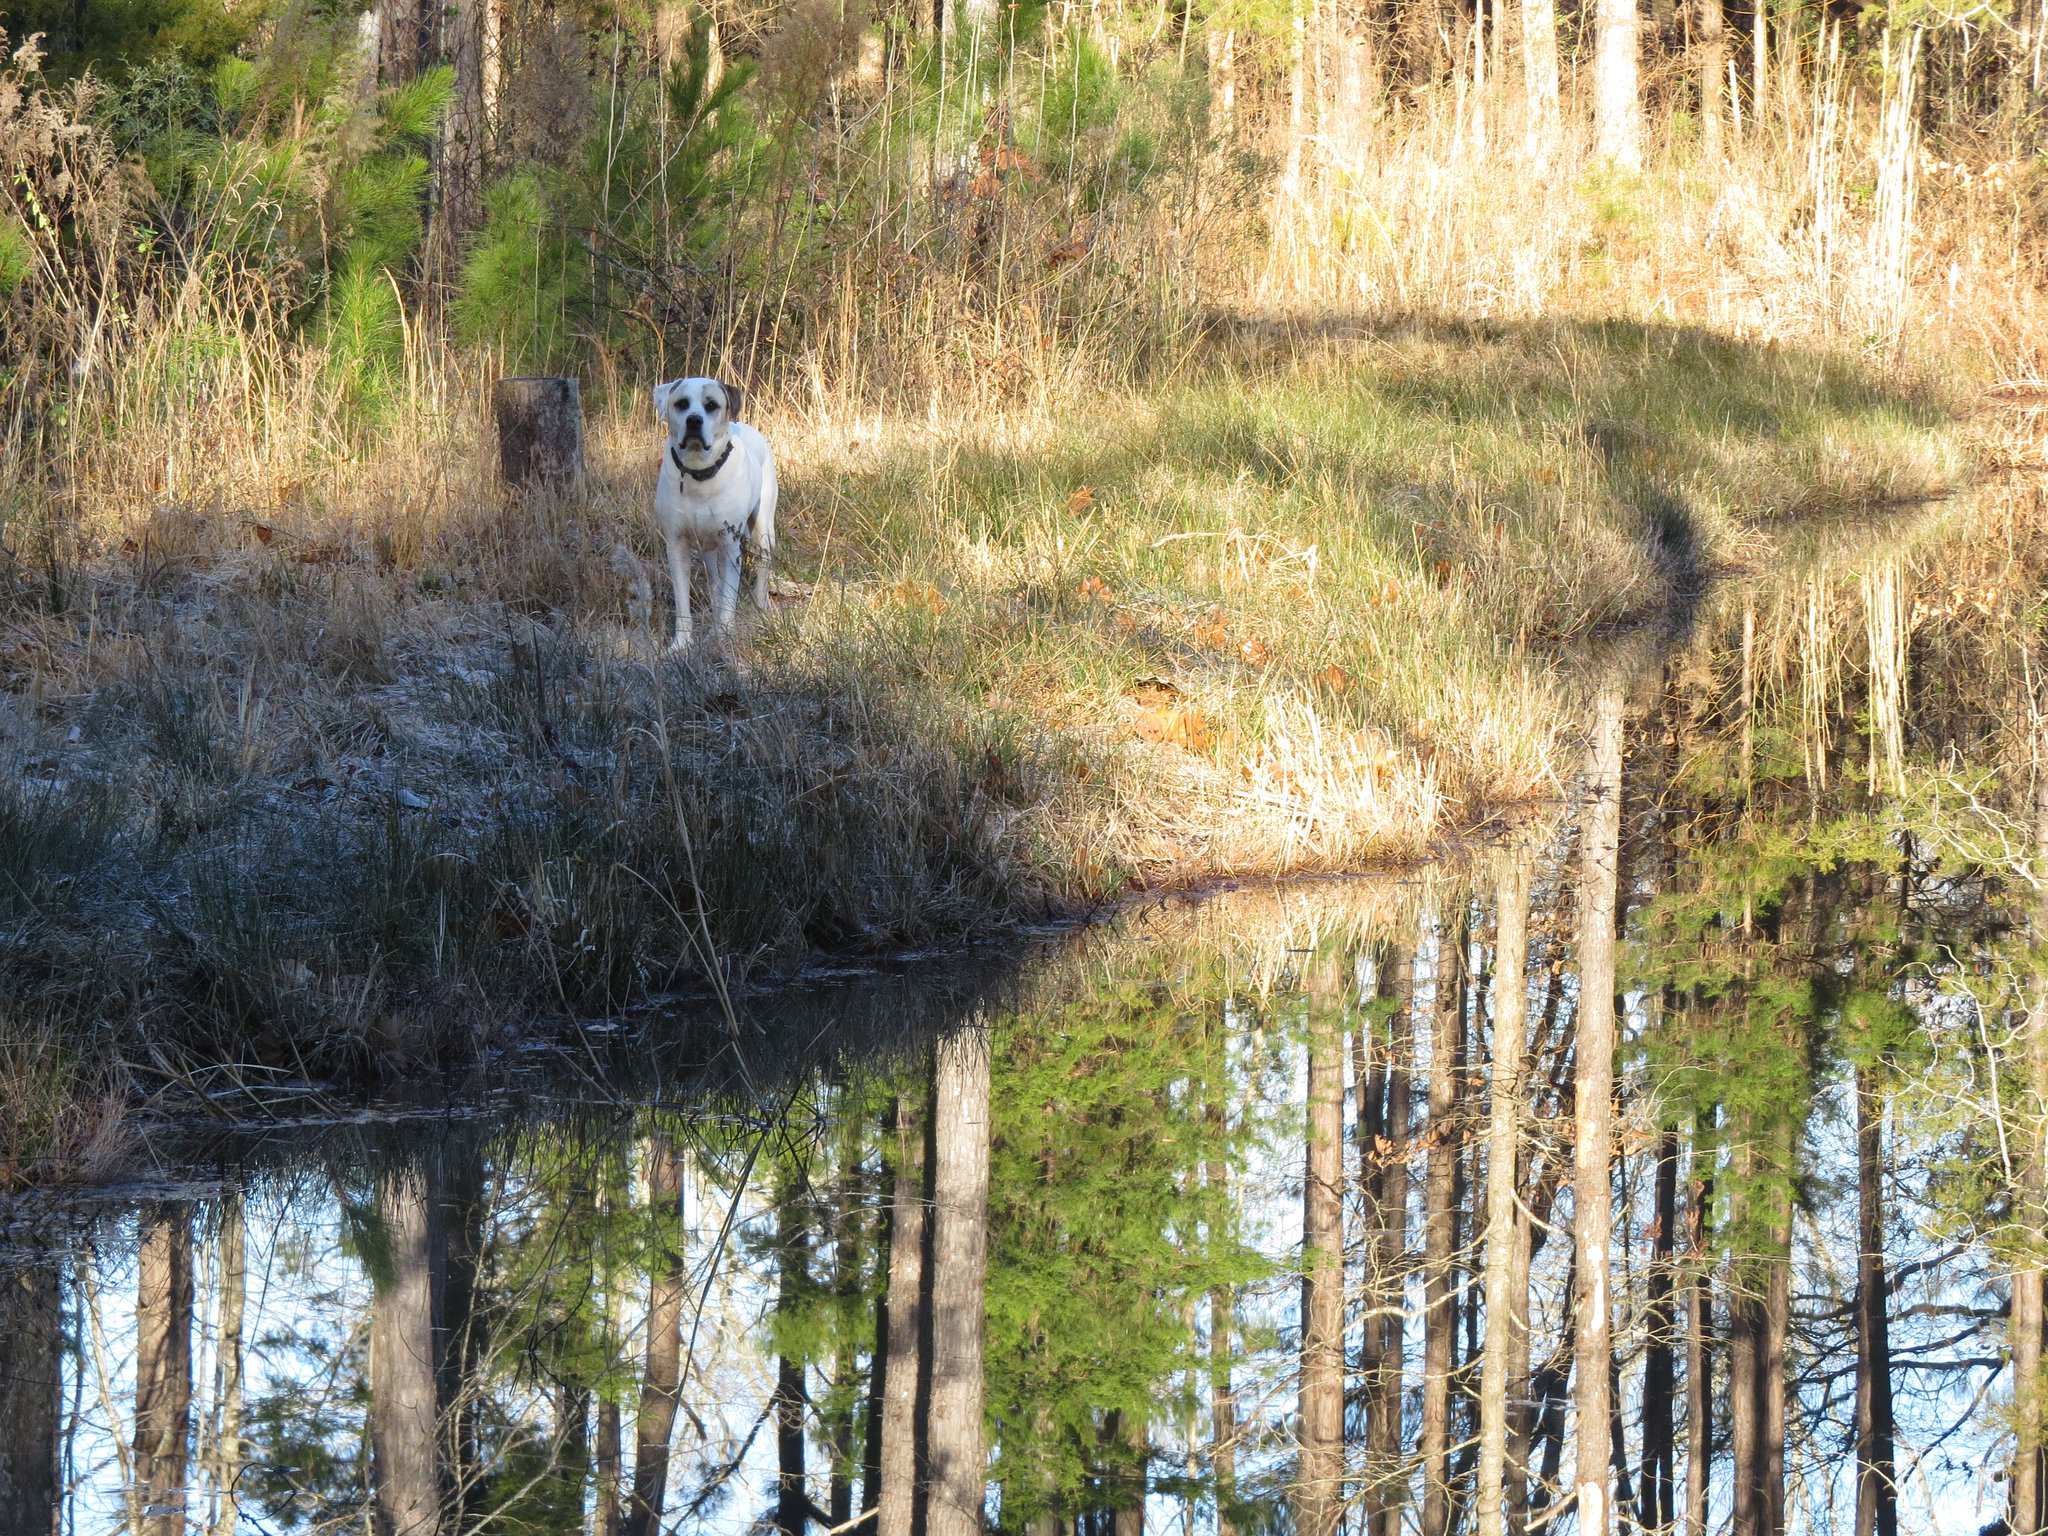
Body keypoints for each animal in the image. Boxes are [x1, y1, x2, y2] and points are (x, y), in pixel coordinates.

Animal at [651, 385, 778, 655]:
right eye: (681, 404)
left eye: (711, 405)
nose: (694, 420)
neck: (699, 473)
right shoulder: (676, 546)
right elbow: (683, 603)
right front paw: (681, 644)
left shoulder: (731, 546)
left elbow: (729, 599)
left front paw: (724, 639)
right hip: (708, 549)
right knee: (714, 583)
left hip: (762, 530)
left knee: (762, 565)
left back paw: (760, 607)